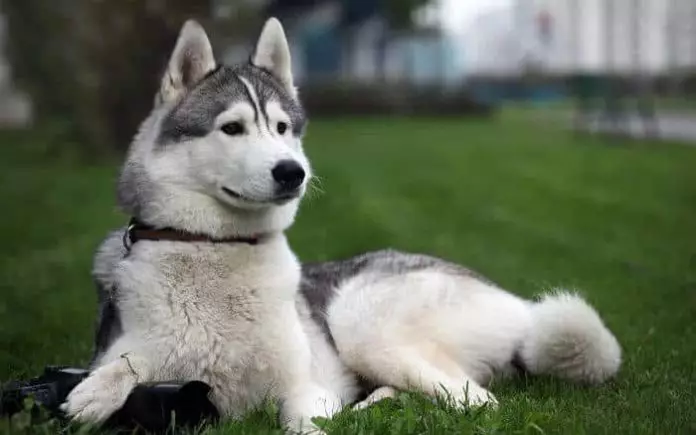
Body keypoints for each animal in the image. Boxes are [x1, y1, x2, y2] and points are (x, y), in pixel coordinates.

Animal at [62, 17, 624, 432]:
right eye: (232, 128)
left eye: (282, 128)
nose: (293, 171)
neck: (215, 247)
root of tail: (518, 304)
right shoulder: (135, 347)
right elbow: (127, 361)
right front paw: (97, 390)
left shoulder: (305, 390)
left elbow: (305, 423)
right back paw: (379, 405)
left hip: (360, 317)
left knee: (478, 401)